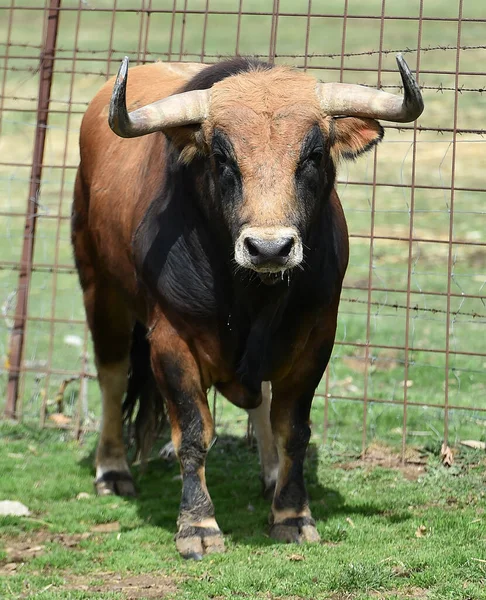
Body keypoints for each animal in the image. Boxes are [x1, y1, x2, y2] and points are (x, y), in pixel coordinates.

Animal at [71, 54, 422, 560]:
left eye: (313, 156)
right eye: (222, 158)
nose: (269, 248)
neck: (252, 294)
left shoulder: (315, 338)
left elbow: (292, 429)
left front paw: (292, 514)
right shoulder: (170, 342)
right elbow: (193, 432)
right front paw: (198, 525)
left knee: (261, 401)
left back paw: (272, 475)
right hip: (100, 290)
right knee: (112, 377)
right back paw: (112, 470)